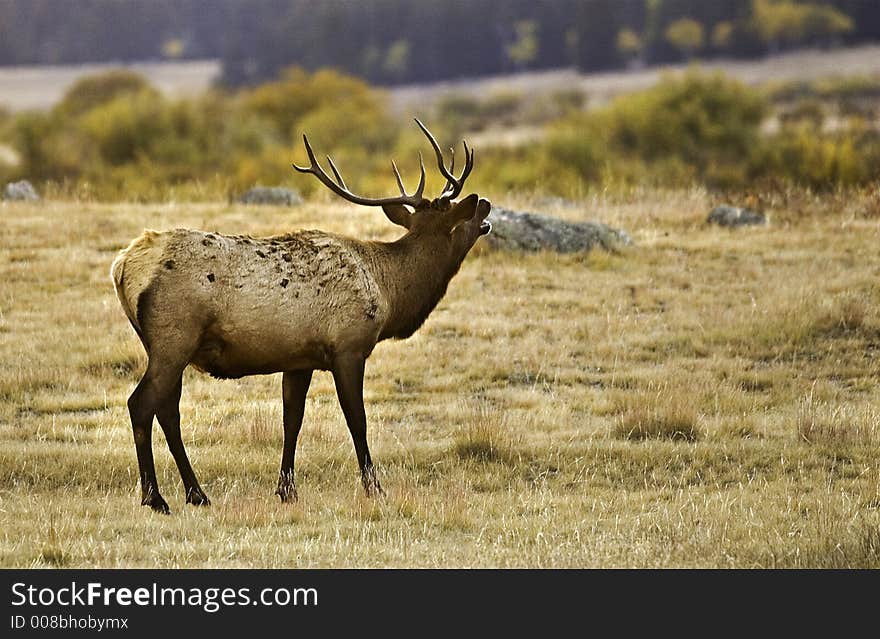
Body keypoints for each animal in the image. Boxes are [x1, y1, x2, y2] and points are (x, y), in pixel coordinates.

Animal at [111, 117, 492, 512]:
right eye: (456, 216)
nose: (485, 204)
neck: (389, 293)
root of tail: (122, 265)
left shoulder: (299, 360)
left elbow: (291, 420)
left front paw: (286, 489)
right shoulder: (348, 347)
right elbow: (357, 420)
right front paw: (374, 487)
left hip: (164, 346)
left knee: (168, 410)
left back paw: (196, 493)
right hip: (174, 338)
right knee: (141, 403)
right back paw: (155, 497)